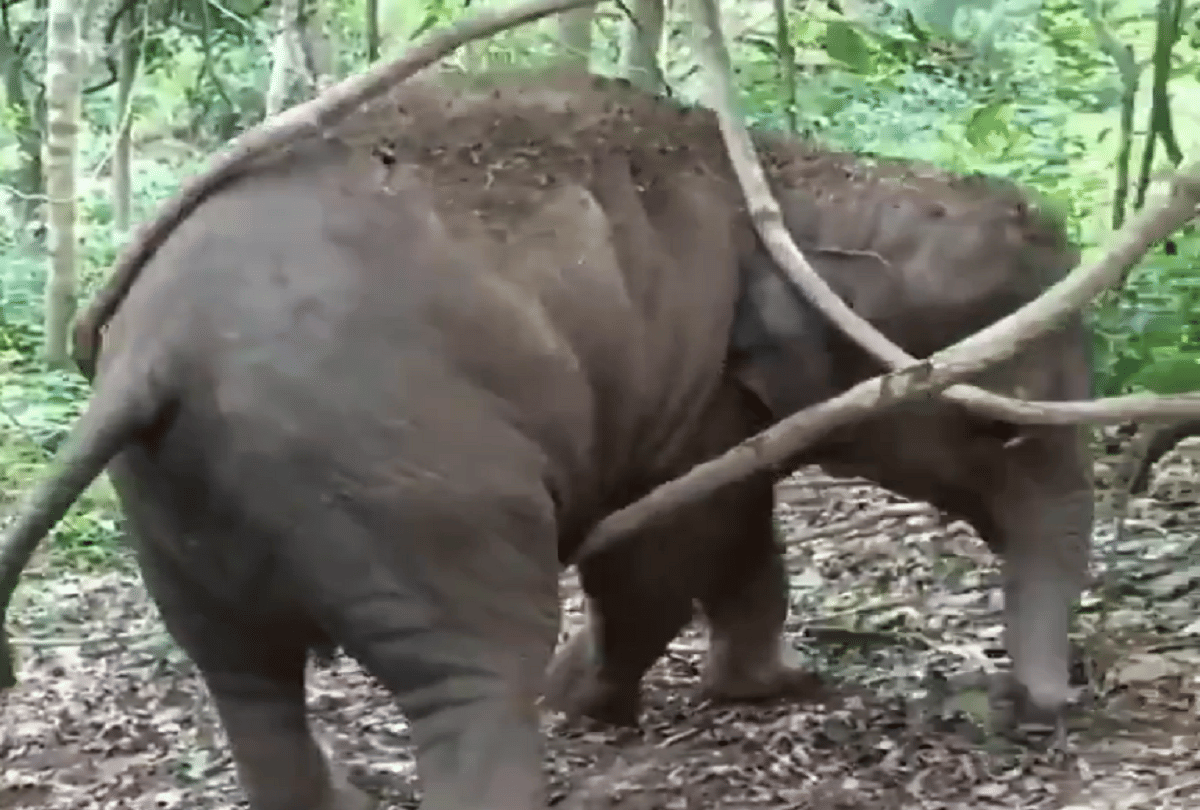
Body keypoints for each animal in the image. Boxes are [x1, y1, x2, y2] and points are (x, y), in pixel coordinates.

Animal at [0, 71, 1091, 810]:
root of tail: (152, 355)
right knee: (474, 676)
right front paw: (589, 699)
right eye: (996, 427)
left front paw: (770, 685)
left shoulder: (716, 402)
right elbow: (667, 548)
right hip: (405, 484)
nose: (1036, 705)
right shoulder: (694, 392)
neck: (798, 181)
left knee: (245, 677)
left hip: (174, 510)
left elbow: (733, 533)